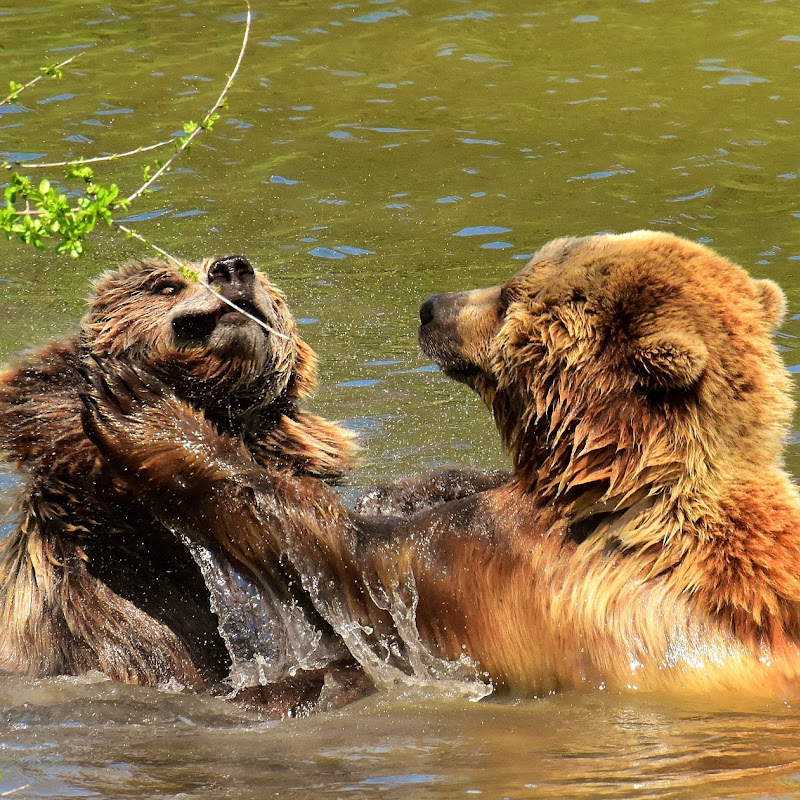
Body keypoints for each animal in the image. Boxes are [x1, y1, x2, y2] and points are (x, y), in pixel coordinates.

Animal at [86, 231, 800, 700]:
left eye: (510, 295)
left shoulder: (504, 566)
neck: (603, 475)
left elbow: (348, 558)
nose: (433, 306)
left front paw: (142, 409)